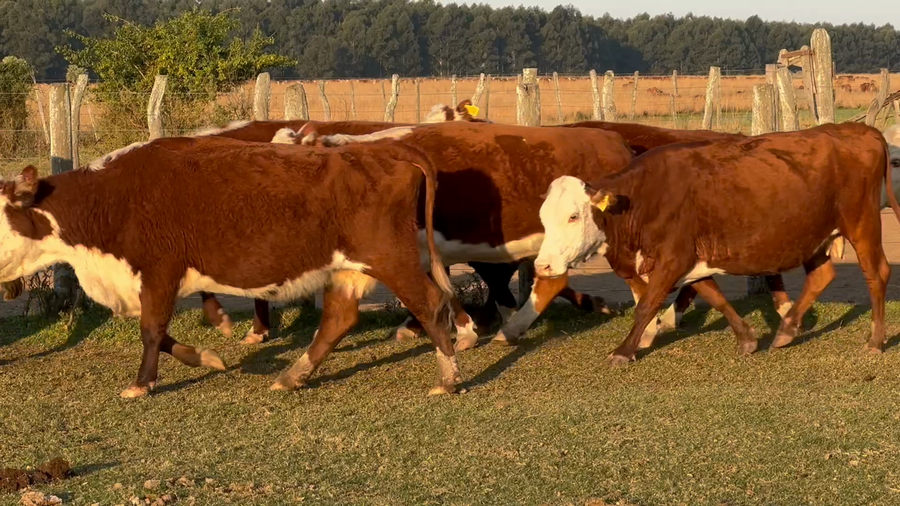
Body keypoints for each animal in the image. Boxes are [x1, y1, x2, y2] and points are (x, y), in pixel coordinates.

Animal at [0, 136, 461, 398]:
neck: (113, 197)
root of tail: (383, 150)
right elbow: (162, 333)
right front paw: (206, 356)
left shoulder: (159, 271)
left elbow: (151, 330)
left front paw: (142, 383)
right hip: (349, 268)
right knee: (338, 319)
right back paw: (294, 375)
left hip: (390, 258)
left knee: (432, 303)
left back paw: (448, 377)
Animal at [515, 122, 900, 363]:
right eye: (544, 217)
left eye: (573, 216)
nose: (543, 265)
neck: (645, 196)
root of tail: (858, 129)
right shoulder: (689, 259)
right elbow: (712, 294)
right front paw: (747, 338)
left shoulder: (672, 258)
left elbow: (648, 304)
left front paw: (624, 350)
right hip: (816, 235)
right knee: (821, 277)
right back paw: (787, 330)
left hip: (861, 224)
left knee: (877, 273)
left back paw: (875, 340)